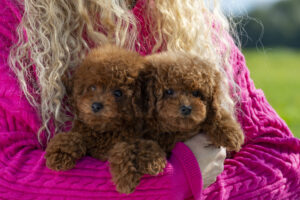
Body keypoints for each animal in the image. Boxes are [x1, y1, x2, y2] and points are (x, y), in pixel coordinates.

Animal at [44, 45, 166, 194]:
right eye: (92, 87)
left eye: (118, 93)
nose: (96, 105)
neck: (104, 130)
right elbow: (72, 137)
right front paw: (59, 155)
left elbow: (129, 146)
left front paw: (129, 176)